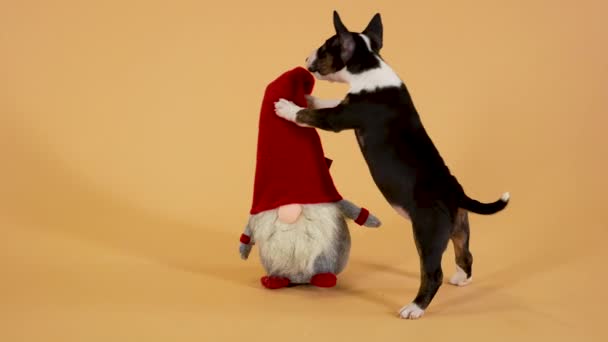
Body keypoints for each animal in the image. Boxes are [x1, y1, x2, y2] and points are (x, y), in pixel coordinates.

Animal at [274, 11, 508, 320]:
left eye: (324, 48)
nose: (306, 58)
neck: (369, 66)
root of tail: (456, 192)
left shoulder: (339, 118)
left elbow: (311, 115)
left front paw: (287, 107)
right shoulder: (343, 105)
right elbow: (326, 102)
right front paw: (309, 97)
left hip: (428, 233)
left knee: (432, 273)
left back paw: (415, 308)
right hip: (459, 225)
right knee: (465, 252)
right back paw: (461, 278)